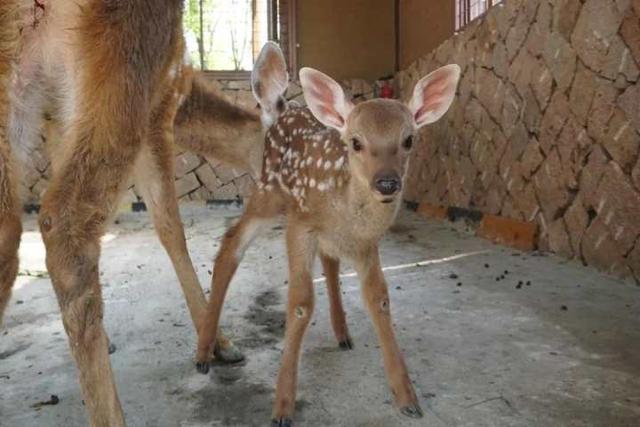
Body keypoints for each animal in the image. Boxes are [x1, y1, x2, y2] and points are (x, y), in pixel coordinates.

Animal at [0, 1, 288, 426]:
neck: (187, 90)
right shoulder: (160, 108)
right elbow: (171, 229)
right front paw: (218, 344)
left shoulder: (59, 115)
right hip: (130, 56)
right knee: (68, 224)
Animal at [195, 64, 460, 424]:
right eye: (356, 142)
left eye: (408, 139)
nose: (387, 182)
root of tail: (285, 111)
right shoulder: (300, 224)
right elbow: (301, 304)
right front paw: (282, 406)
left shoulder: (365, 243)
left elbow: (378, 300)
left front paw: (407, 398)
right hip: (268, 193)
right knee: (232, 242)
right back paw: (203, 353)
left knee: (329, 262)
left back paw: (342, 333)